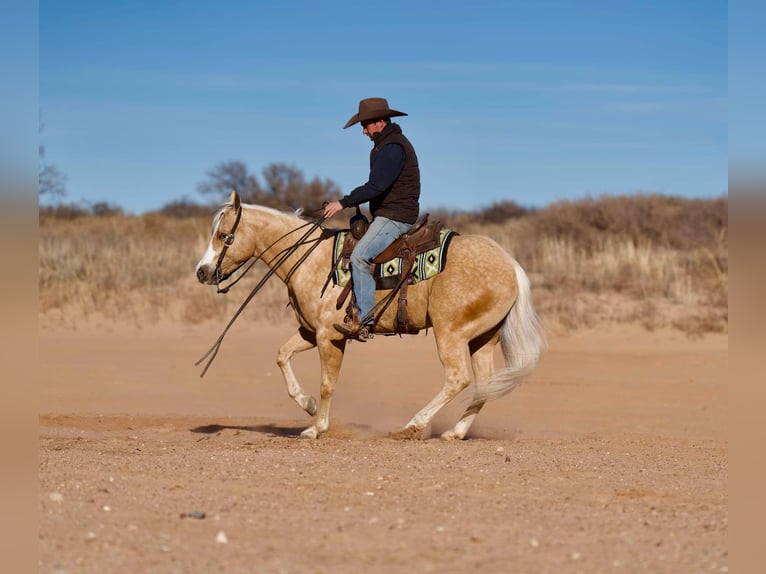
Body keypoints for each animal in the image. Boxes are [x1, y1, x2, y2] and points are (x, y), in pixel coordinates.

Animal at [196, 190, 544, 440]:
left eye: (224, 236)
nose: (202, 272)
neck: (309, 258)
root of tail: (510, 264)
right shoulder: (311, 332)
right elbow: (282, 356)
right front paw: (308, 406)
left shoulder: (329, 336)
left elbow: (327, 383)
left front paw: (316, 427)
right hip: (482, 338)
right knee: (485, 384)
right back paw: (454, 432)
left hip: (452, 334)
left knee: (458, 379)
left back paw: (413, 425)